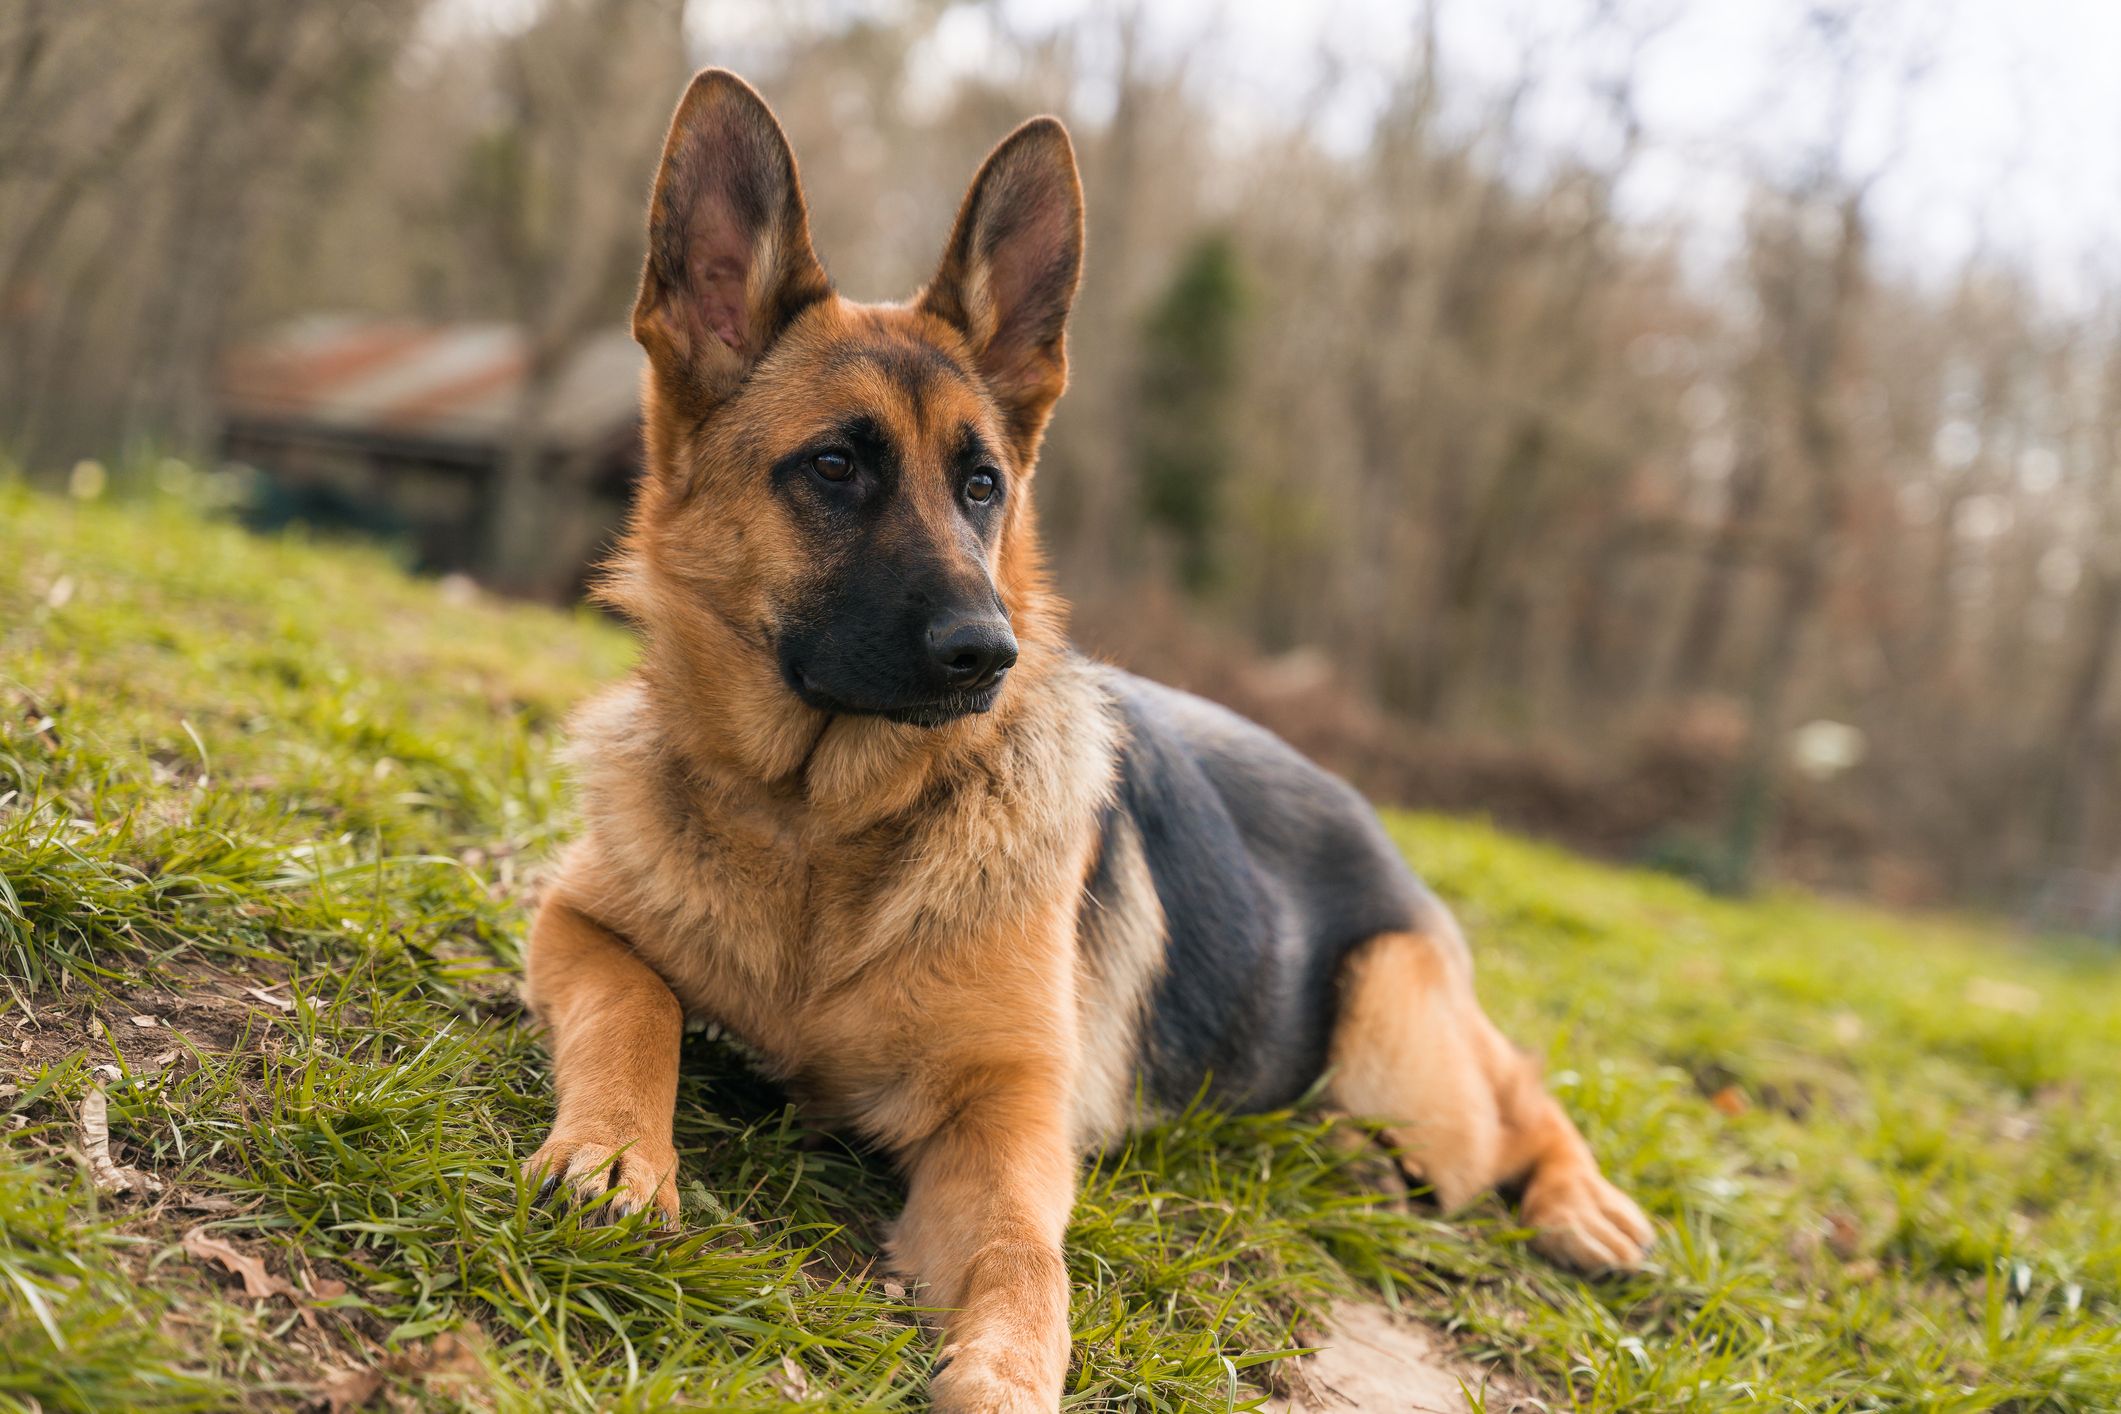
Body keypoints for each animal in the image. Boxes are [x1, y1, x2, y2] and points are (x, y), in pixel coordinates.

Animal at [530, 68, 1654, 1414]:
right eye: (837, 466)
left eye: (983, 486)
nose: (988, 653)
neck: (820, 825)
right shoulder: (574, 923)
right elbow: (631, 1009)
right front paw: (613, 1149)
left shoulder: (1009, 1115)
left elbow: (1027, 1251)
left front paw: (1009, 1368)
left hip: (1400, 1048)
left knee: (1516, 1091)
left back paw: (1584, 1206)